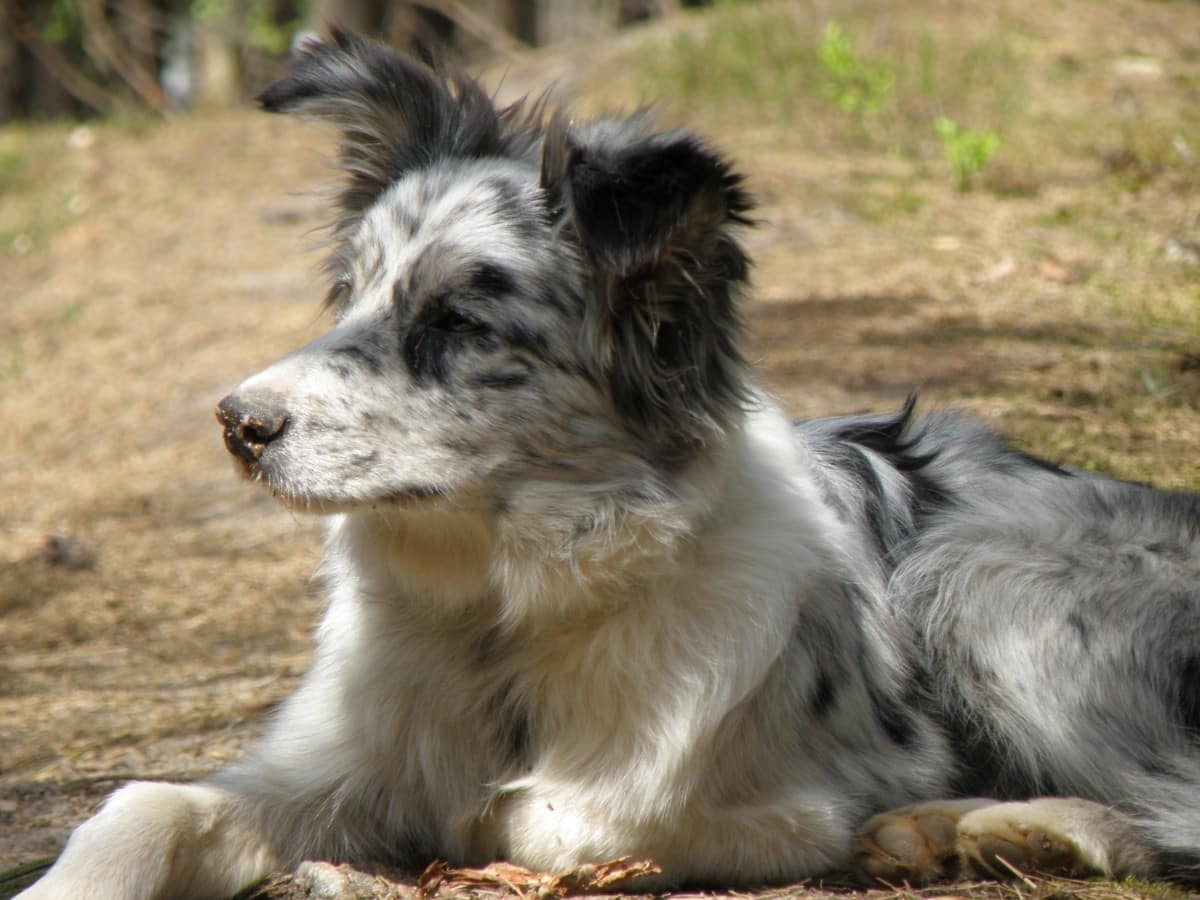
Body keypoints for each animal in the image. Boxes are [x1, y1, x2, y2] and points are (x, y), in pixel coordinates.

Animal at [16, 30, 1200, 900]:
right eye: (348, 295)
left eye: (457, 325)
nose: (236, 422)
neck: (499, 627)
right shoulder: (332, 763)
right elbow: (145, 805)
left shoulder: (759, 798)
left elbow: (550, 819)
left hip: (978, 576)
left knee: (1167, 809)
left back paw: (982, 828)